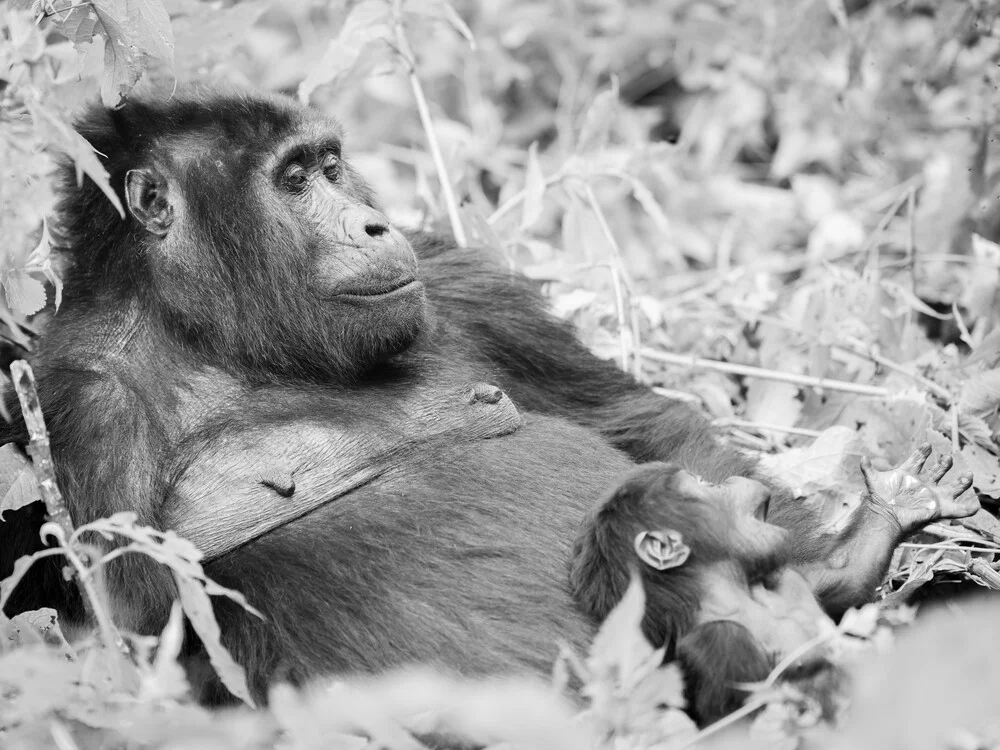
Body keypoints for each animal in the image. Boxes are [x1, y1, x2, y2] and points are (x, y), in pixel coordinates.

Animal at [0, 92, 816, 704]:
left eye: (332, 166)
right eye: (294, 180)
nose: (374, 222)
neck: (210, 331)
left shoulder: (447, 271)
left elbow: (644, 426)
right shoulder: (79, 409)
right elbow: (148, 655)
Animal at [572, 446, 976, 728]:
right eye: (703, 486)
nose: (728, 481)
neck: (736, 592)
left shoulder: (788, 576)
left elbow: (844, 576)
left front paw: (897, 499)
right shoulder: (720, 644)